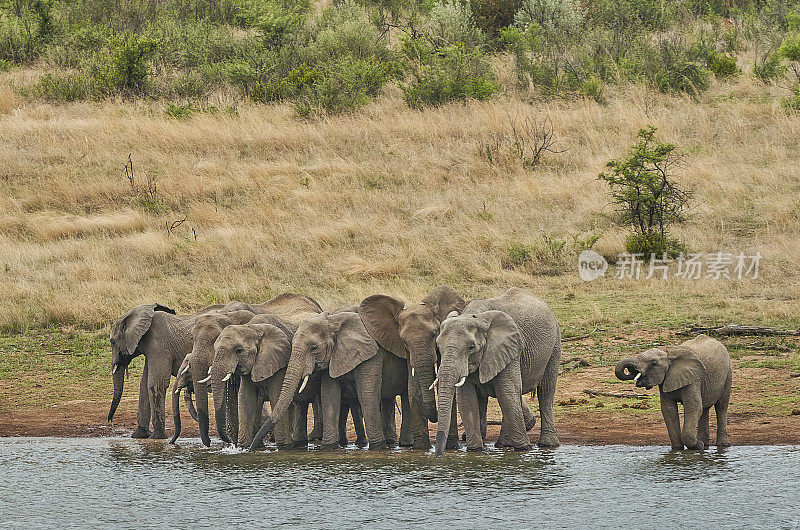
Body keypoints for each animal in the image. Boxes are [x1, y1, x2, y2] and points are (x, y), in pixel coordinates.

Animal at [173, 290, 324, 444]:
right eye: (192, 338)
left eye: (214, 340)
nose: (209, 442)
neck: (229, 315)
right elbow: (237, 397)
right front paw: (237, 442)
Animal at [209, 316, 366, 448]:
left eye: (239, 350)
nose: (231, 443)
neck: (253, 328)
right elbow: (246, 399)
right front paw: (243, 448)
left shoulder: (279, 365)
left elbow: (275, 397)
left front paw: (282, 447)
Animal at [248, 310, 412, 450]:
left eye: (313, 348)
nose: (249, 449)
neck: (333, 322)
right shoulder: (333, 357)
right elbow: (329, 396)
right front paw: (329, 447)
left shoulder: (372, 354)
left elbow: (367, 395)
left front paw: (377, 447)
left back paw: (403, 444)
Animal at [360, 284, 466, 450]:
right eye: (404, 341)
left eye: (434, 334)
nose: (435, 416)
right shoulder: (407, 351)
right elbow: (414, 387)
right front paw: (421, 448)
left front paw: (452, 446)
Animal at [432, 310, 532, 454]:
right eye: (438, 346)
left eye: (471, 347)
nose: (438, 455)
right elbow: (467, 400)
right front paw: (475, 450)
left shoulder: (507, 350)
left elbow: (507, 394)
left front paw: (524, 448)